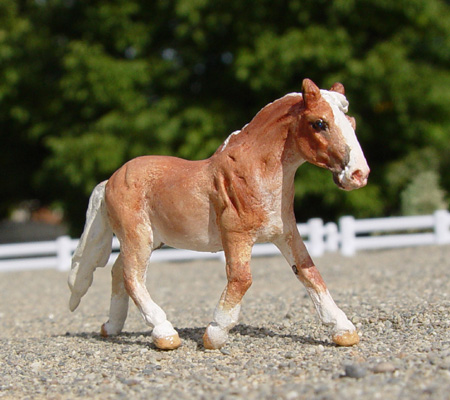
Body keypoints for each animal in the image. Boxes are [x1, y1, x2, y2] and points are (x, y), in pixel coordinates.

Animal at [67, 79, 370, 352]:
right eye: (319, 123)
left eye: (352, 123)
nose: (358, 175)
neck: (254, 175)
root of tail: (110, 181)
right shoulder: (236, 236)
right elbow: (241, 279)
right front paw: (214, 335)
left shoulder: (286, 234)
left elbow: (310, 273)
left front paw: (344, 331)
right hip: (137, 237)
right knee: (132, 277)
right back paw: (165, 335)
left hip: (150, 240)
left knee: (119, 272)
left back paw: (112, 327)